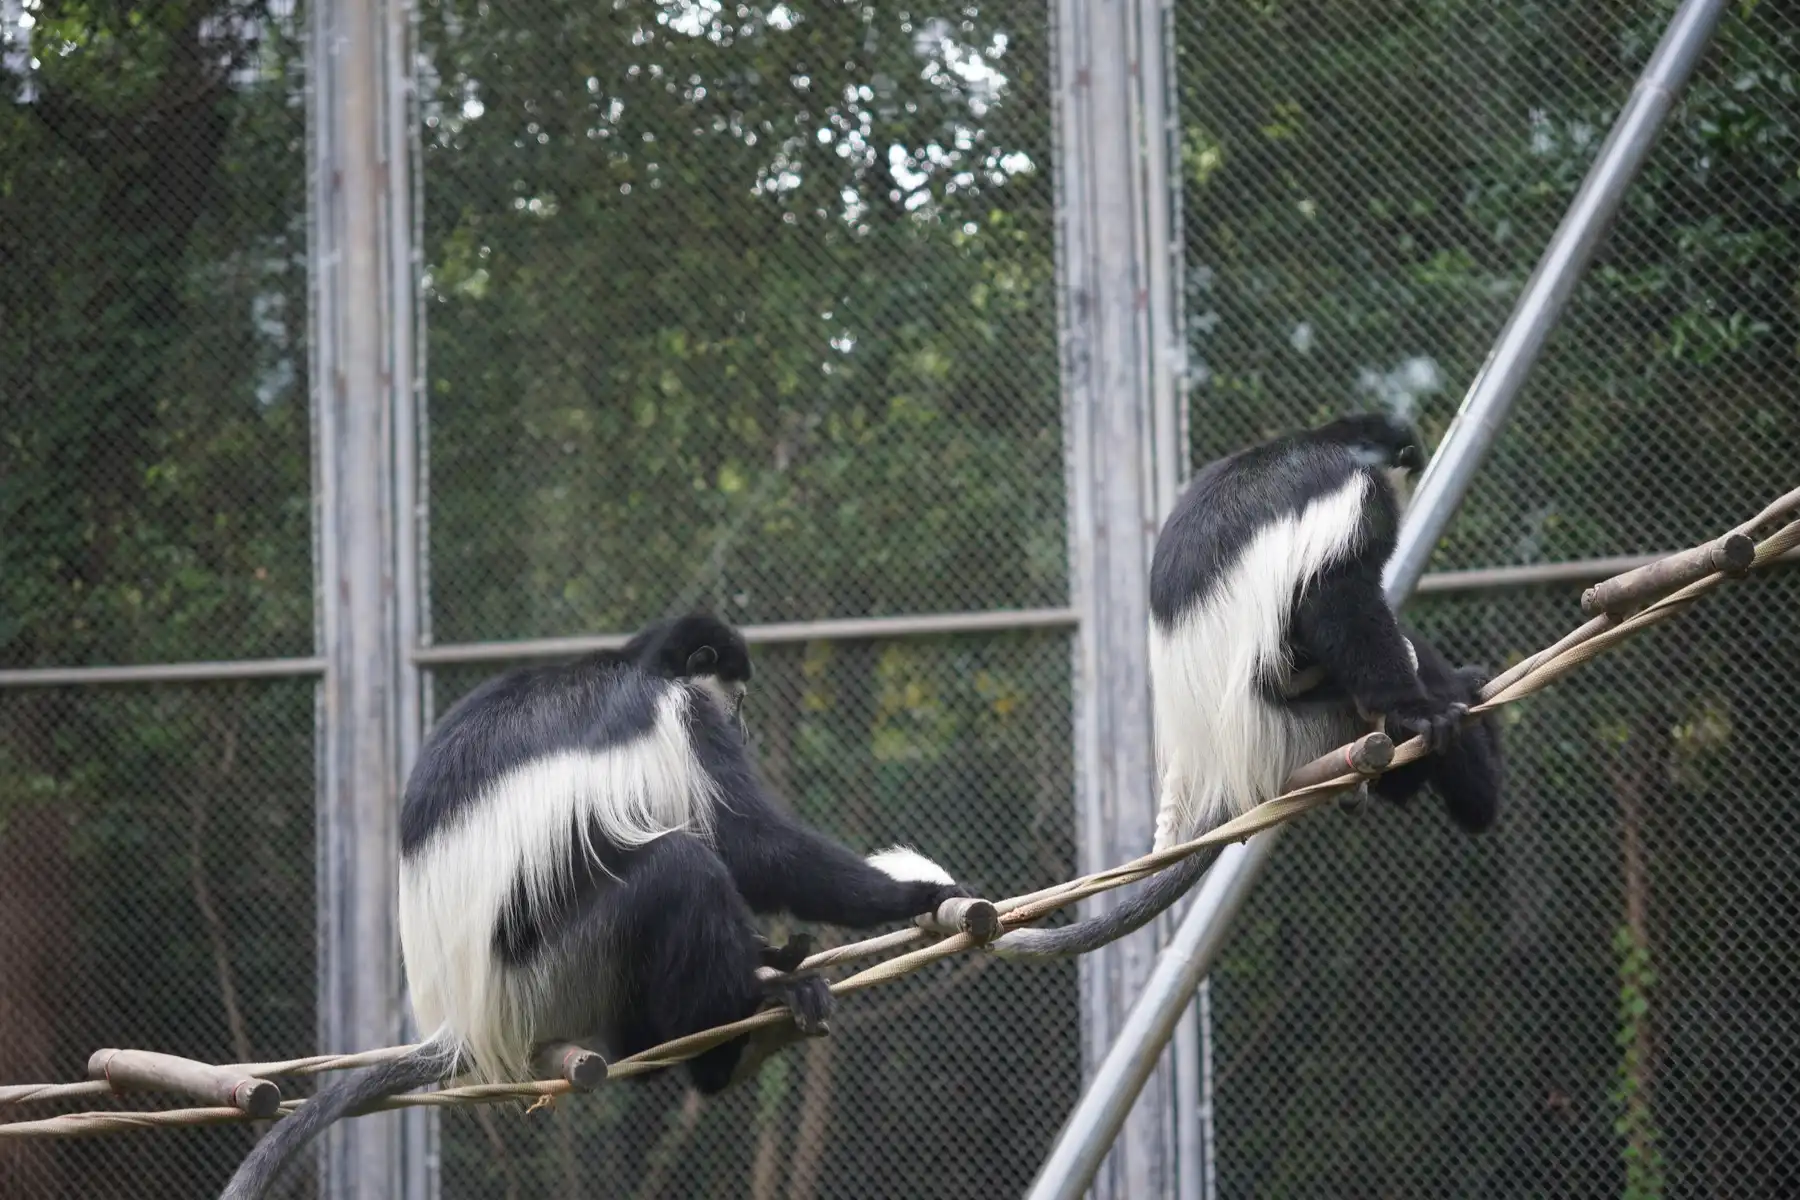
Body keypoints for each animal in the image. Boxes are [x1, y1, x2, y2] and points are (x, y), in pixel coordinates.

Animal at [221, 613, 980, 1199]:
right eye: (734, 697)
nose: (743, 723)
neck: (640, 666)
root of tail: (466, 1022)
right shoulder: (682, 719)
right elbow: (750, 847)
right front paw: (918, 894)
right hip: (559, 973)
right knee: (682, 870)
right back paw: (729, 1042)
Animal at [990, 413, 1503, 960]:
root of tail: (1219, 759)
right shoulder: (1359, 501)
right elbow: (1333, 597)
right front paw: (1417, 707)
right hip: (1301, 725)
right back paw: (1473, 777)